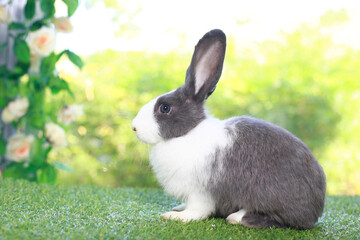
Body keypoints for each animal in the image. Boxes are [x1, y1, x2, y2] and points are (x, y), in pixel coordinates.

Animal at [131, 29, 326, 230]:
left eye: (164, 108)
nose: (134, 127)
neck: (188, 132)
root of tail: (316, 209)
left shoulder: (200, 192)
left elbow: (197, 211)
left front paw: (176, 216)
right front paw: (178, 208)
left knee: (277, 219)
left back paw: (237, 217)